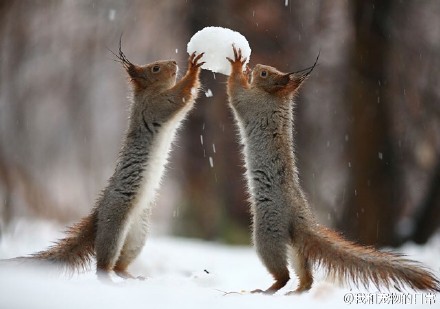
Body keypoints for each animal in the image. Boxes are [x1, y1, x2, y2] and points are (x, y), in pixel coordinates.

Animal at [5, 42, 205, 280]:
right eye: (155, 68)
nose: (174, 62)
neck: (148, 93)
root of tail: (98, 215)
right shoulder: (157, 106)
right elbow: (180, 97)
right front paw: (193, 68)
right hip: (114, 225)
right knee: (103, 265)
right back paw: (109, 279)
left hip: (137, 236)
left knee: (120, 264)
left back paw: (129, 276)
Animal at [227, 45, 440, 294]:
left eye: (265, 74)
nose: (257, 66)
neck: (277, 97)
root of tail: (300, 218)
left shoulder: (252, 104)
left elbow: (235, 93)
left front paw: (237, 65)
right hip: (294, 243)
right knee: (306, 275)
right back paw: (298, 290)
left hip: (267, 232)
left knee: (283, 273)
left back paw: (268, 289)